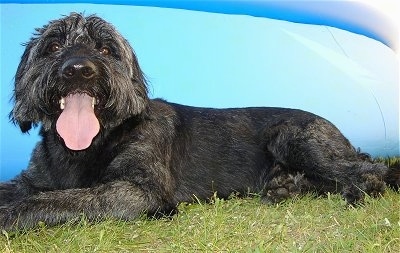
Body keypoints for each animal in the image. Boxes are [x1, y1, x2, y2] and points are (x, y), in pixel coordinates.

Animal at [0, 13, 396, 231]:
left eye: (105, 48)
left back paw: (356, 190)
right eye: (53, 47)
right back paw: (285, 187)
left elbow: (60, 200)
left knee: (369, 170)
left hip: (293, 138)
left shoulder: (140, 191)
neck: (86, 148)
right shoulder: (33, 179)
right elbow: (26, 190)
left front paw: (10, 215)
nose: (78, 69)